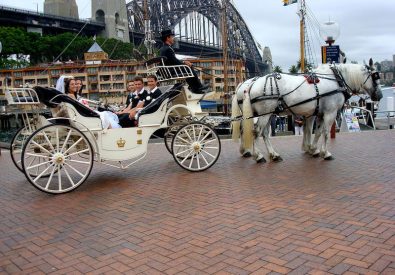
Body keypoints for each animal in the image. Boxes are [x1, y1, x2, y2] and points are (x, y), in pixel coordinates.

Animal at [232, 59, 384, 164]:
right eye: (375, 77)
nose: (380, 96)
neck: (336, 79)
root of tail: (251, 84)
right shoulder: (330, 113)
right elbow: (325, 133)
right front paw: (325, 153)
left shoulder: (317, 113)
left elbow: (315, 132)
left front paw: (312, 149)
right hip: (265, 114)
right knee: (256, 132)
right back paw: (258, 156)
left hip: (267, 114)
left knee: (262, 133)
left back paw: (273, 154)